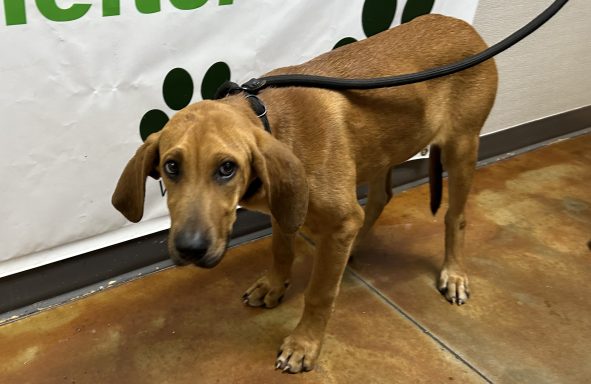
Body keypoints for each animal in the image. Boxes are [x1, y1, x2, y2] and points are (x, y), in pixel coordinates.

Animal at [112, 14, 500, 372]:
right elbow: (281, 250)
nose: (190, 249)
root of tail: (465, 26)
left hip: (462, 146)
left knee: (455, 216)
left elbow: (319, 293)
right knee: (380, 197)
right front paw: (273, 285)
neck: (270, 119)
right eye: (171, 166)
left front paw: (304, 344)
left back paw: (454, 274)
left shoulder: (339, 221)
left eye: (227, 168)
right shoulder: (286, 209)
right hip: (379, 151)